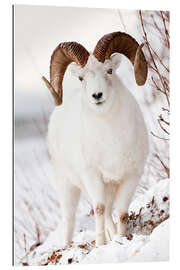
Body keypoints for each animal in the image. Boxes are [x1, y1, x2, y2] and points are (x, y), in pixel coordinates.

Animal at [42, 31, 149, 247]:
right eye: (81, 77)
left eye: (109, 70)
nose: (97, 95)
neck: (112, 140)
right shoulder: (93, 177)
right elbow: (99, 209)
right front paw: (101, 244)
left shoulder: (130, 176)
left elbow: (121, 213)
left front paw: (120, 239)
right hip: (68, 186)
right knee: (72, 217)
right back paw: (68, 245)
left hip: (108, 187)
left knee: (109, 213)